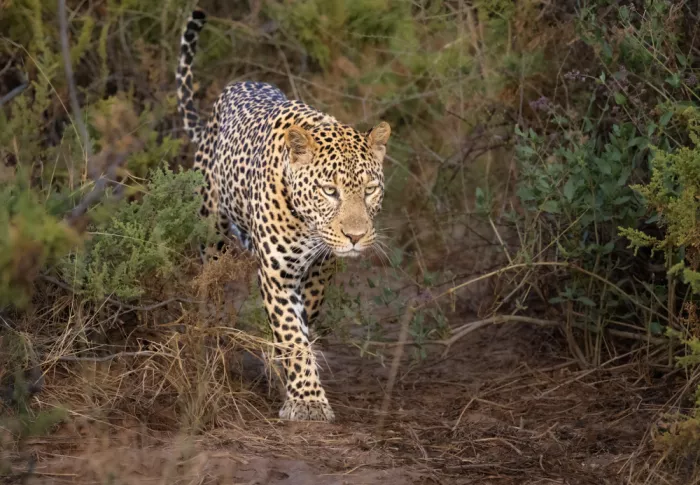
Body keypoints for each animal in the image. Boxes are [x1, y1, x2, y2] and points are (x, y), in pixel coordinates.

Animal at [176, 9, 391, 422]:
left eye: (370, 189)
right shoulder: (277, 273)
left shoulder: (321, 268)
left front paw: (287, 372)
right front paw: (307, 400)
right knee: (206, 286)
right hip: (210, 230)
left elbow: (303, 319)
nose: (356, 237)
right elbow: (291, 332)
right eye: (329, 190)